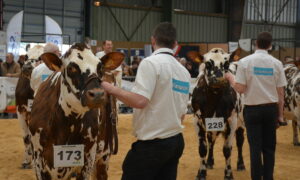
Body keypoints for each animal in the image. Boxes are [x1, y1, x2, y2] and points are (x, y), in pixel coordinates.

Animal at [28, 43, 123, 179]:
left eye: (100, 67)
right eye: (71, 68)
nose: (98, 94)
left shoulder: (88, 158)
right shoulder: (38, 160)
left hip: (104, 156)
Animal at [191, 47, 245, 180]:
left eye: (226, 64)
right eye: (207, 64)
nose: (218, 80)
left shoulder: (232, 121)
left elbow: (227, 150)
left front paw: (228, 174)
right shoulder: (197, 120)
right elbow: (202, 149)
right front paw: (201, 173)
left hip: (241, 122)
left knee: (240, 141)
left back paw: (241, 164)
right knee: (211, 141)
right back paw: (209, 162)